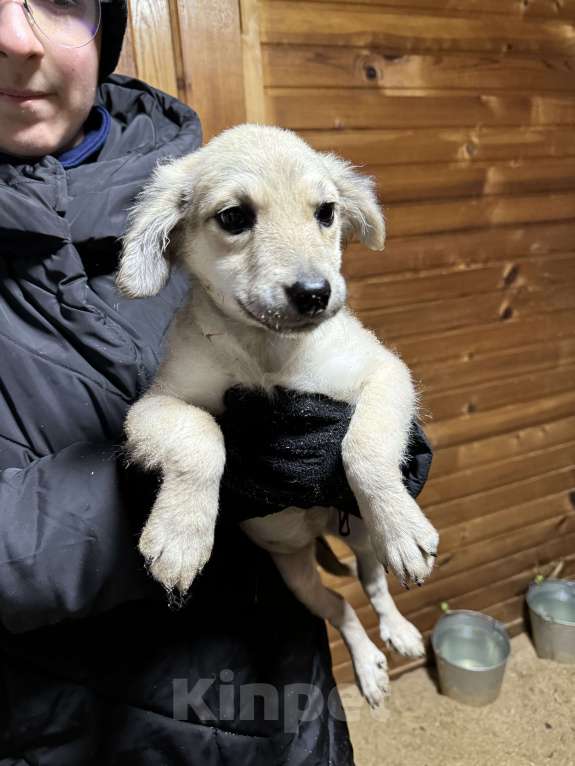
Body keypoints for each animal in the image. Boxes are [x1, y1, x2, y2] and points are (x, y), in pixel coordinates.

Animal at [118, 124, 440, 708]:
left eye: (326, 212)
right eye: (234, 217)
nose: (315, 294)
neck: (270, 354)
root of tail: (318, 531)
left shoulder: (384, 372)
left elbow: (363, 447)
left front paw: (403, 527)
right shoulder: (155, 406)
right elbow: (201, 435)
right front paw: (181, 535)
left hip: (357, 531)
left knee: (373, 581)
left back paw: (399, 629)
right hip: (297, 575)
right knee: (342, 608)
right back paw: (369, 666)